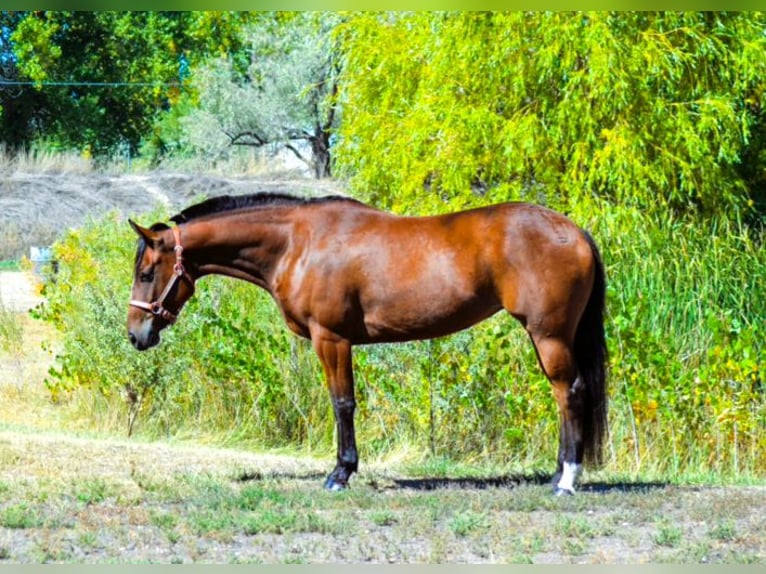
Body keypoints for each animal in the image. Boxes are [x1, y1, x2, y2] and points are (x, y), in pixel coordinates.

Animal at [126, 192, 608, 496]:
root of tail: (575, 231)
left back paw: (566, 481)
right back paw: (557, 473)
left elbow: (343, 403)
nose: (136, 334)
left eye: (147, 272)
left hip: (549, 335)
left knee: (569, 392)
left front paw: (340, 473)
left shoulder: (332, 338)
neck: (298, 243)